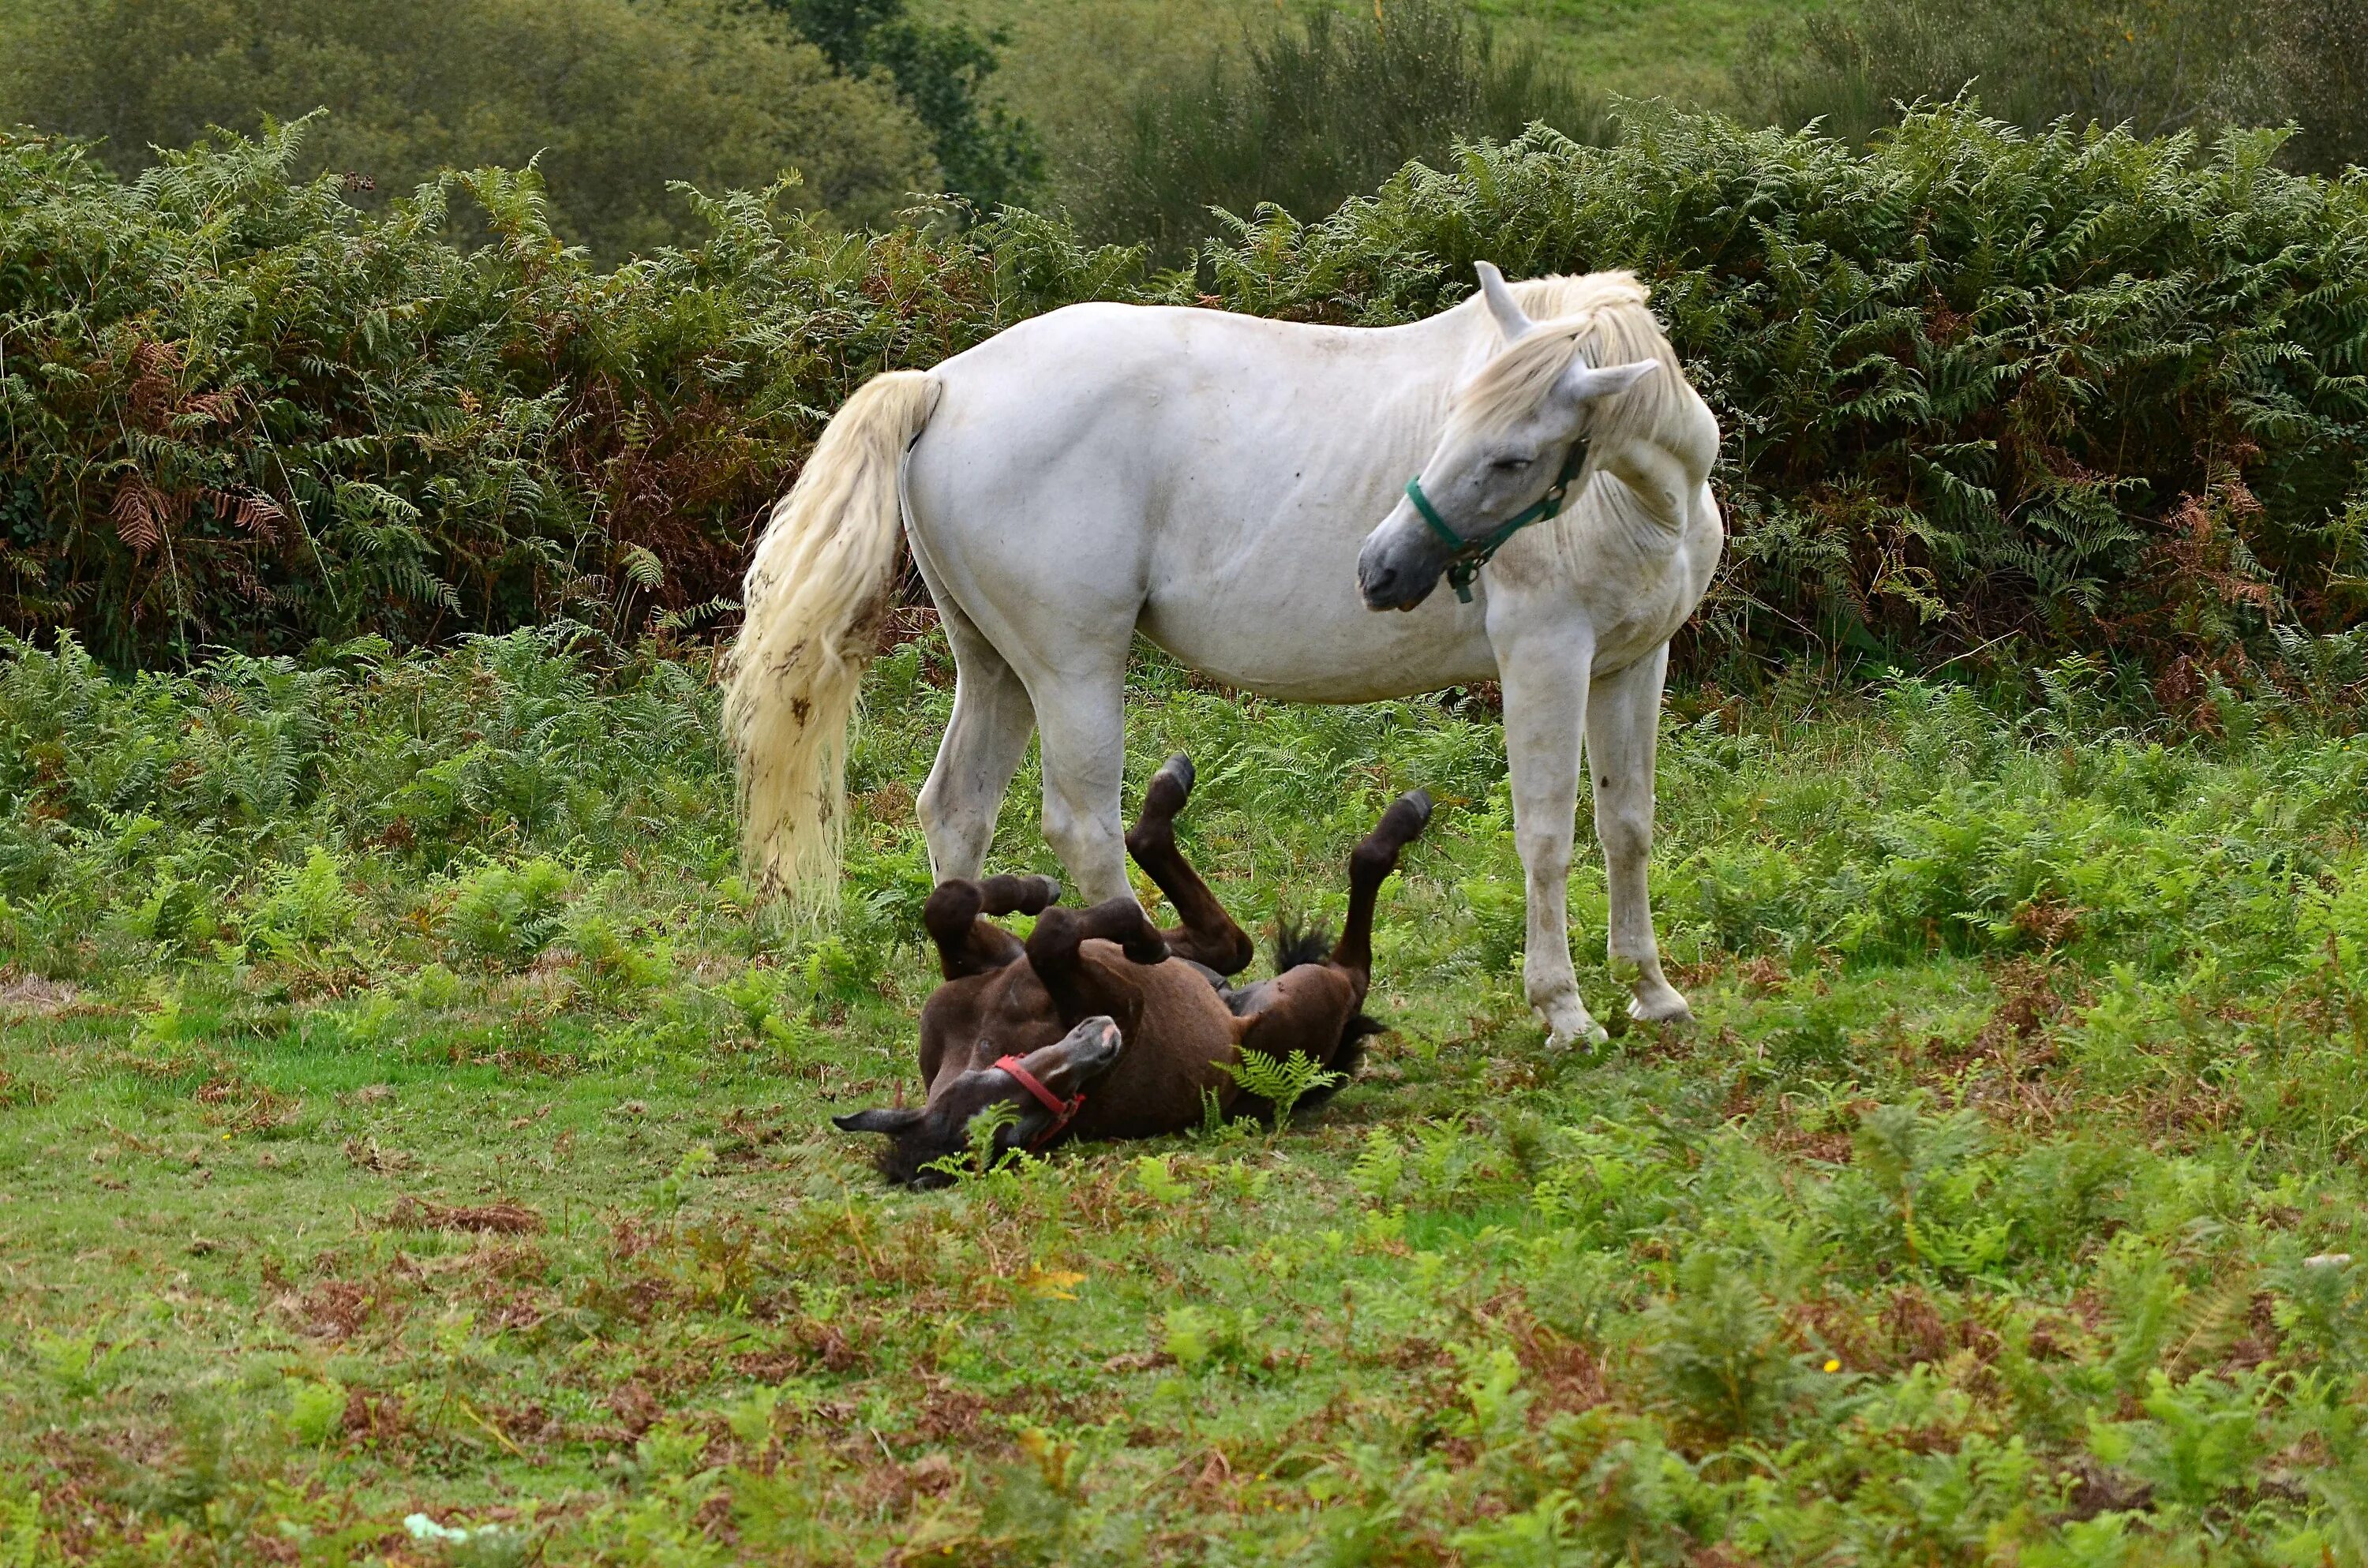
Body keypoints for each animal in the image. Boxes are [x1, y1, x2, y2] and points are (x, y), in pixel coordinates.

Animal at [720, 264, 1724, 1051]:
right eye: (1455, 430)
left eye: (1513, 456)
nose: (1382, 566)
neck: (1646, 503)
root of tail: (944, 384)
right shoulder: (1545, 659)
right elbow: (1547, 835)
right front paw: (1565, 1011)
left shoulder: (1632, 666)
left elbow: (1627, 825)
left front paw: (1653, 992)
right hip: (1072, 672)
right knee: (1084, 828)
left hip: (995, 669)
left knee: (956, 809)